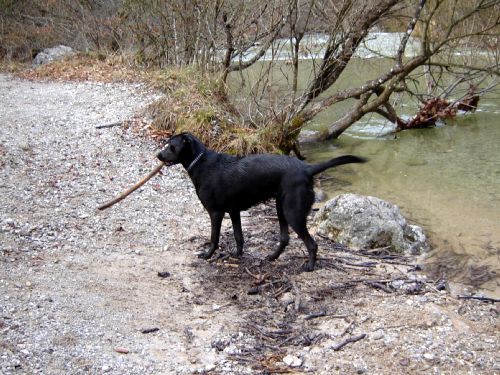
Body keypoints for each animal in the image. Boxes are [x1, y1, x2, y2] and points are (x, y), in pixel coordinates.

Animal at [158, 134, 366, 272]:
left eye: (171, 147)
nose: (158, 155)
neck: (201, 163)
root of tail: (307, 168)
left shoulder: (216, 212)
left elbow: (214, 238)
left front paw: (208, 255)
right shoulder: (234, 211)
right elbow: (238, 236)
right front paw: (237, 255)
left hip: (293, 213)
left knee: (312, 244)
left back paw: (309, 266)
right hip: (281, 208)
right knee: (285, 238)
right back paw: (272, 257)